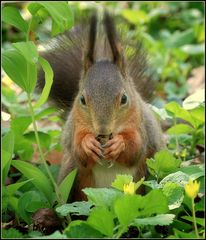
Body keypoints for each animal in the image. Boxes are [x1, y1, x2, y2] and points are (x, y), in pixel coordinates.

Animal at [37, 12, 165, 202]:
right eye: (82, 99)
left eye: (124, 98)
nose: (103, 130)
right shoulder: (77, 125)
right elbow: (78, 150)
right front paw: (87, 144)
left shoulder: (139, 124)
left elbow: (135, 149)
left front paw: (119, 144)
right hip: (71, 175)